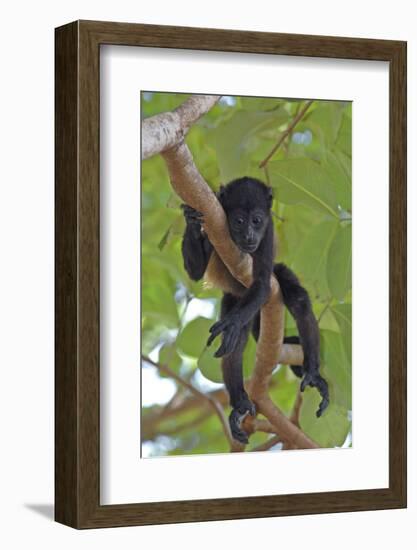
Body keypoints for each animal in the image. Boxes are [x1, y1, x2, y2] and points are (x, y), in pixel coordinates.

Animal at [181, 179, 328, 446]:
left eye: (257, 220)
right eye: (239, 221)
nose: (249, 235)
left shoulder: (267, 235)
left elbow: (261, 283)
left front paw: (230, 324)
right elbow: (195, 272)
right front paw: (190, 220)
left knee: (298, 300)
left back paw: (313, 373)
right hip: (233, 299)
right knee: (237, 342)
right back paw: (239, 402)